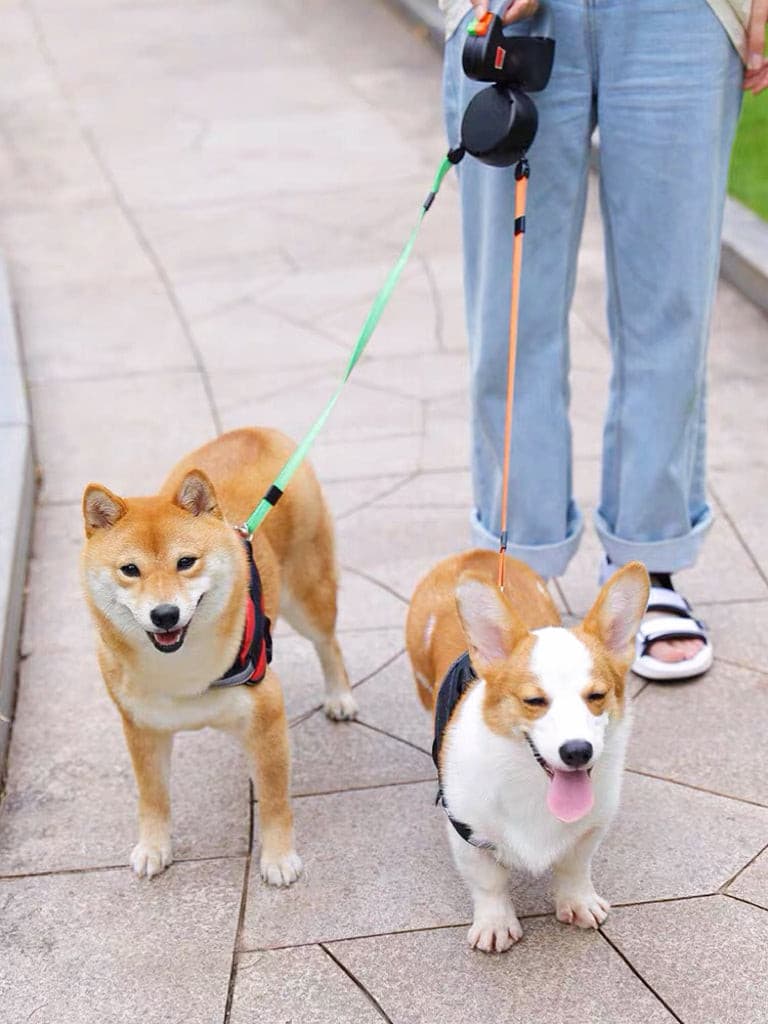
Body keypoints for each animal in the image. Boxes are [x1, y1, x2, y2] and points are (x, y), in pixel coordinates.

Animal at [81, 428, 358, 884]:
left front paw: (278, 857)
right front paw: (153, 847)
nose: (165, 614)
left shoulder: (267, 713)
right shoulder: (141, 727)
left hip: (307, 596)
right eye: (130, 570)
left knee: (328, 642)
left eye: (186, 562)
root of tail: (258, 431)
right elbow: (152, 795)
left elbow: (275, 800)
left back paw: (339, 696)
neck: (182, 671)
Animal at [405, 548, 651, 954]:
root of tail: (474, 554)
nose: (577, 751)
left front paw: (578, 902)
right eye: (534, 701)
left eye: (596, 696)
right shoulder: (468, 833)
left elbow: (574, 868)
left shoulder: (589, 829)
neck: (533, 784)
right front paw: (495, 924)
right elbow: (488, 883)